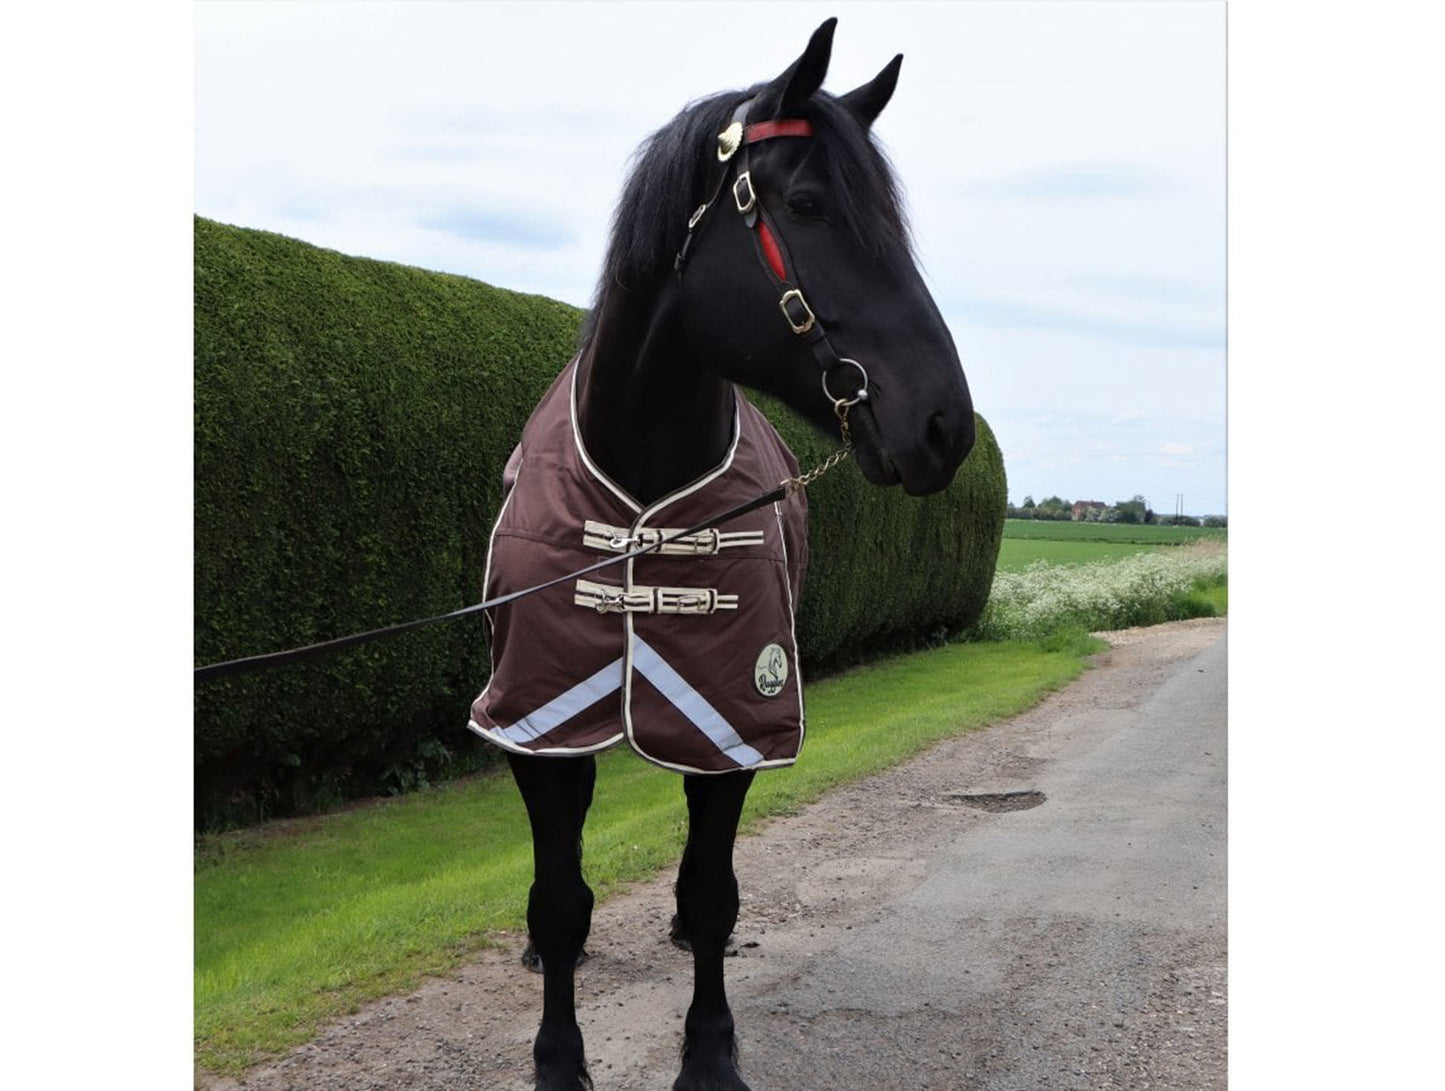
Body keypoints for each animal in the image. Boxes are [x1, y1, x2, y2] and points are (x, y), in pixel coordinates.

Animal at [466, 18, 975, 1091]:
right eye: (811, 204)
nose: (945, 425)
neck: (641, 477)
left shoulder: (730, 717)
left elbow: (710, 894)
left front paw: (708, 1053)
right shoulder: (538, 720)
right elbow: (557, 901)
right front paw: (557, 1057)